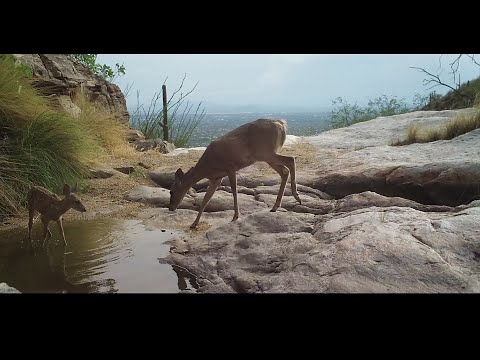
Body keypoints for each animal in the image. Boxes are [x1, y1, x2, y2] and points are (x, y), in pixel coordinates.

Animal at [169, 119, 300, 229]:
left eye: (172, 191)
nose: (170, 208)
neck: (207, 168)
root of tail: (281, 124)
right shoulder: (216, 179)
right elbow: (206, 199)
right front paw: (194, 224)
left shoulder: (230, 167)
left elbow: (234, 190)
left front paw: (236, 216)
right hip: (266, 155)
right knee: (284, 171)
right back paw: (275, 206)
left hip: (265, 152)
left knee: (290, 159)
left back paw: (296, 196)